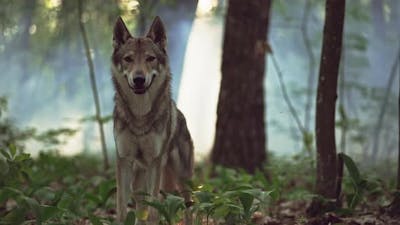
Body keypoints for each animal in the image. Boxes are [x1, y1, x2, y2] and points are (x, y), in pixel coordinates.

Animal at [111, 16, 195, 224]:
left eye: (150, 58)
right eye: (128, 59)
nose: (139, 79)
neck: (140, 116)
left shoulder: (154, 163)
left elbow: (154, 210)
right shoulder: (123, 161)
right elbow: (122, 207)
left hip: (182, 177)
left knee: (189, 207)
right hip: (138, 181)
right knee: (141, 208)